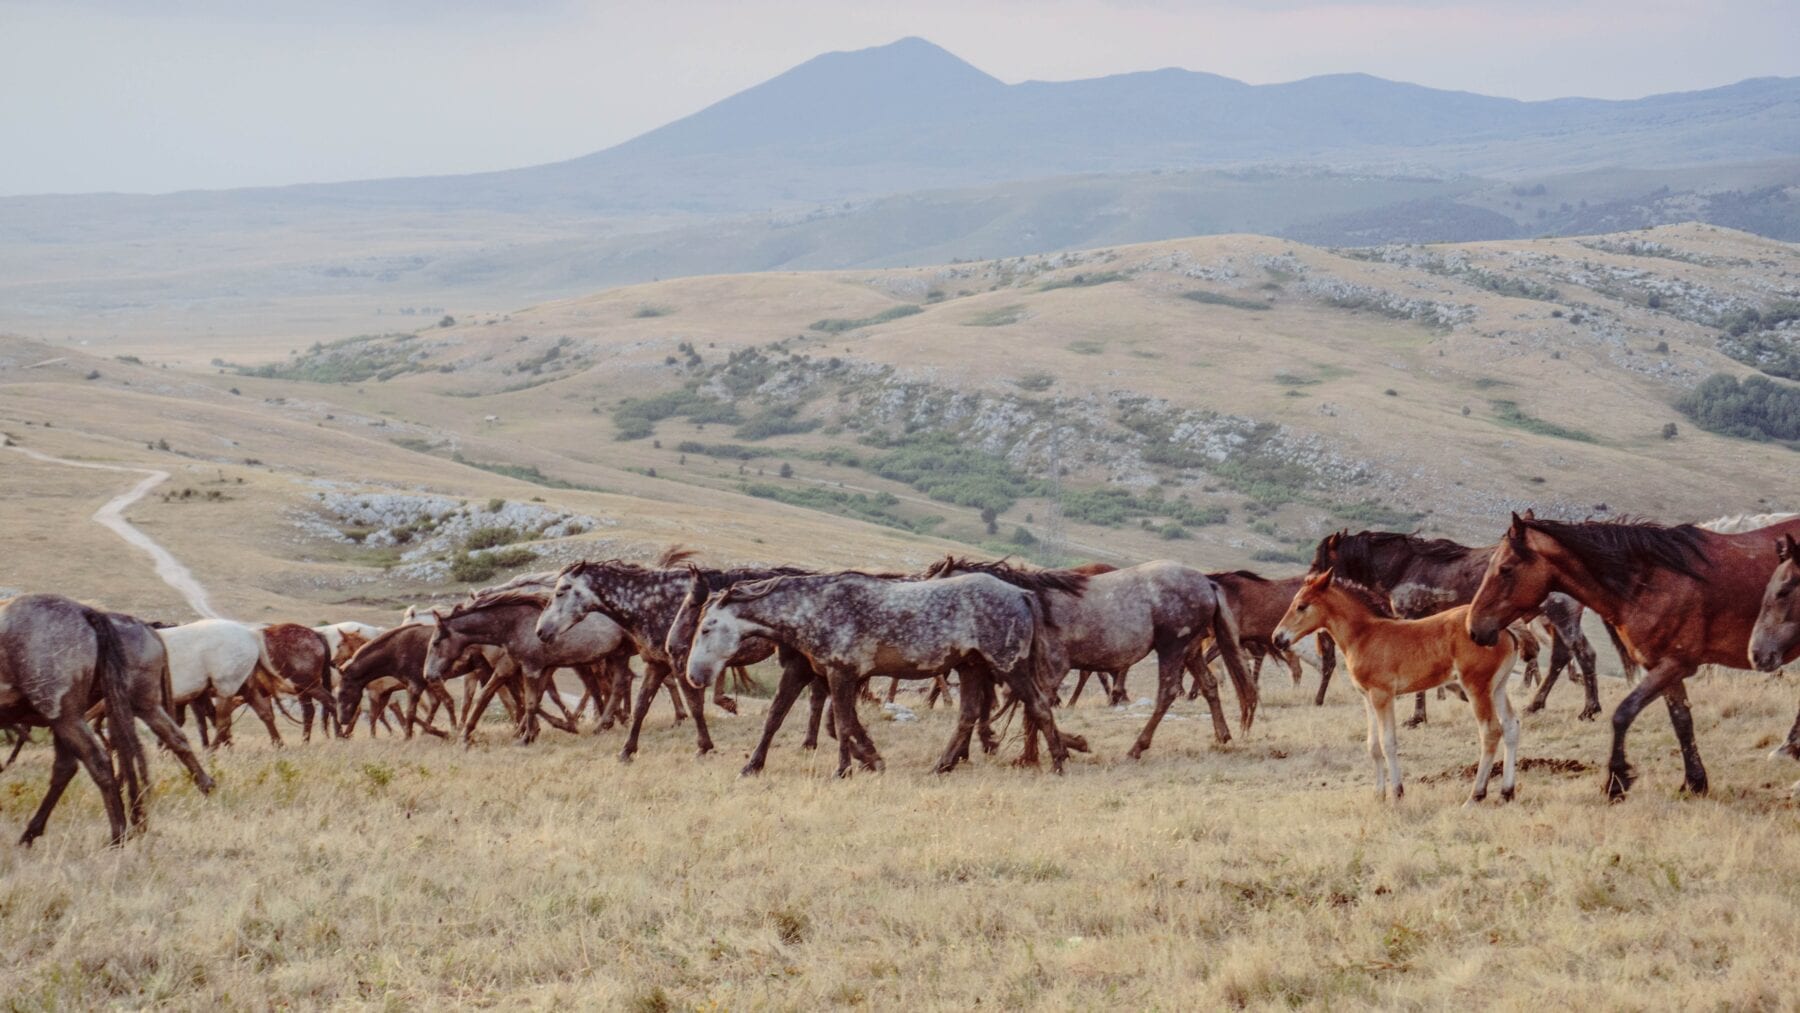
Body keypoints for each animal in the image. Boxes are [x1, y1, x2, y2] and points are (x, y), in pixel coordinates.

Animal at [1267, 575, 1519, 806]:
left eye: (1301, 605)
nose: (1277, 638)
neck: (1364, 636)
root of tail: (1506, 631)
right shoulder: (1367, 697)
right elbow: (1373, 745)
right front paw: (1378, 794)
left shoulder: (1382, 695)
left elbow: (1388, 742)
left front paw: (1397, 793)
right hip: (1497, 688)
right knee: (1510, 726)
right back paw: (1506, 792)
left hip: (1477, 687)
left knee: (1490, 732)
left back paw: (1476, 796)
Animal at [1468, 514, 1800, 802]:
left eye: (1506, 569)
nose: (1474, 628)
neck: (1649, 580)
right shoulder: (1664, 666)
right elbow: (1682, 722)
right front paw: (1694, 782)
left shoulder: (1674, 665)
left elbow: (1623, 713)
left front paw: (1616, 780)